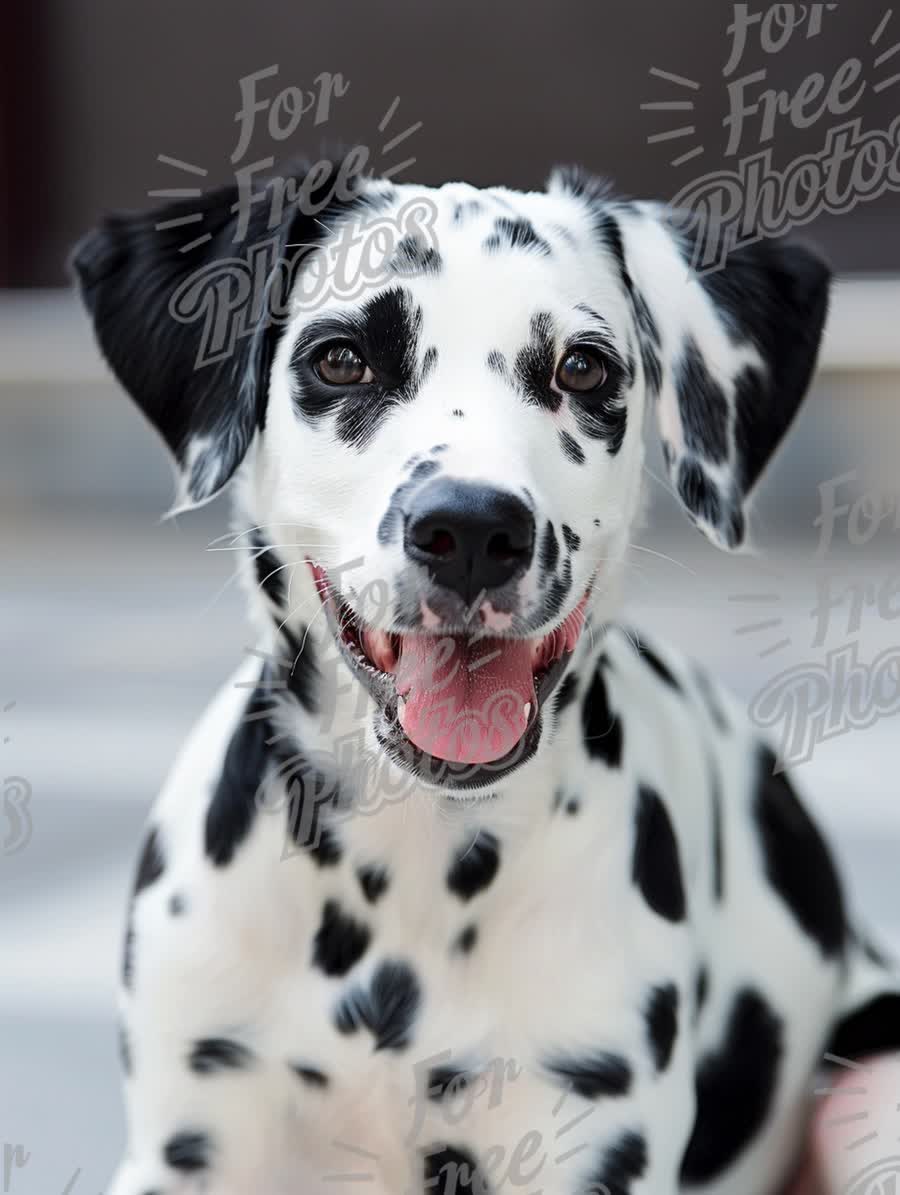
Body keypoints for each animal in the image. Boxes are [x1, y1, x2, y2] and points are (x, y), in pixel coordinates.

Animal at [75, 161, 898, 1195]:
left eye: (583, 369)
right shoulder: (190, 1138)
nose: (470, 528)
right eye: (341, 360)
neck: (409, 871)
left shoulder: (582, 1128)